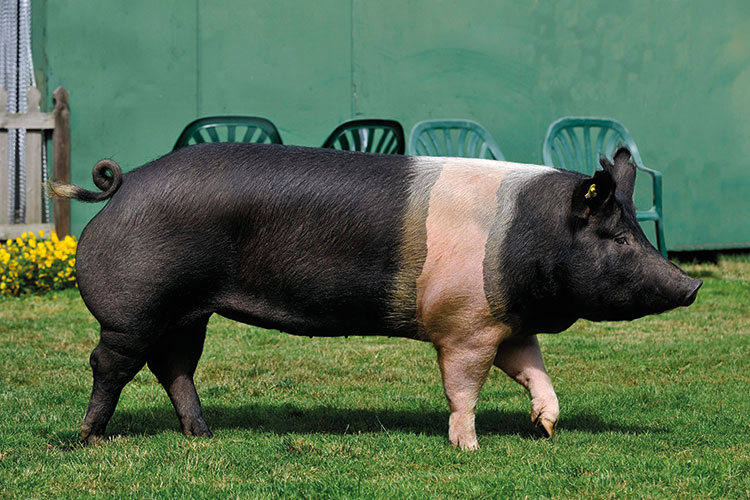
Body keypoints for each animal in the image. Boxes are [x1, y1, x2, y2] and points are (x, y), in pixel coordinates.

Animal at [51, 143, 701, 450]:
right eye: (619, 238)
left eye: (638, 232)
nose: (692, 284)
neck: (525, 238)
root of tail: (125, 182)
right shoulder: (465, 325)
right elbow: (464, 386)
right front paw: (469, 447)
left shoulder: (508, 323)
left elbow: (533, 372)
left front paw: (546, 428)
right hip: (136, 306)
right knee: (110, 363)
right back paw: (90, 438)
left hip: (190, 312)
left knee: (175, 366)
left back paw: (203, 435)